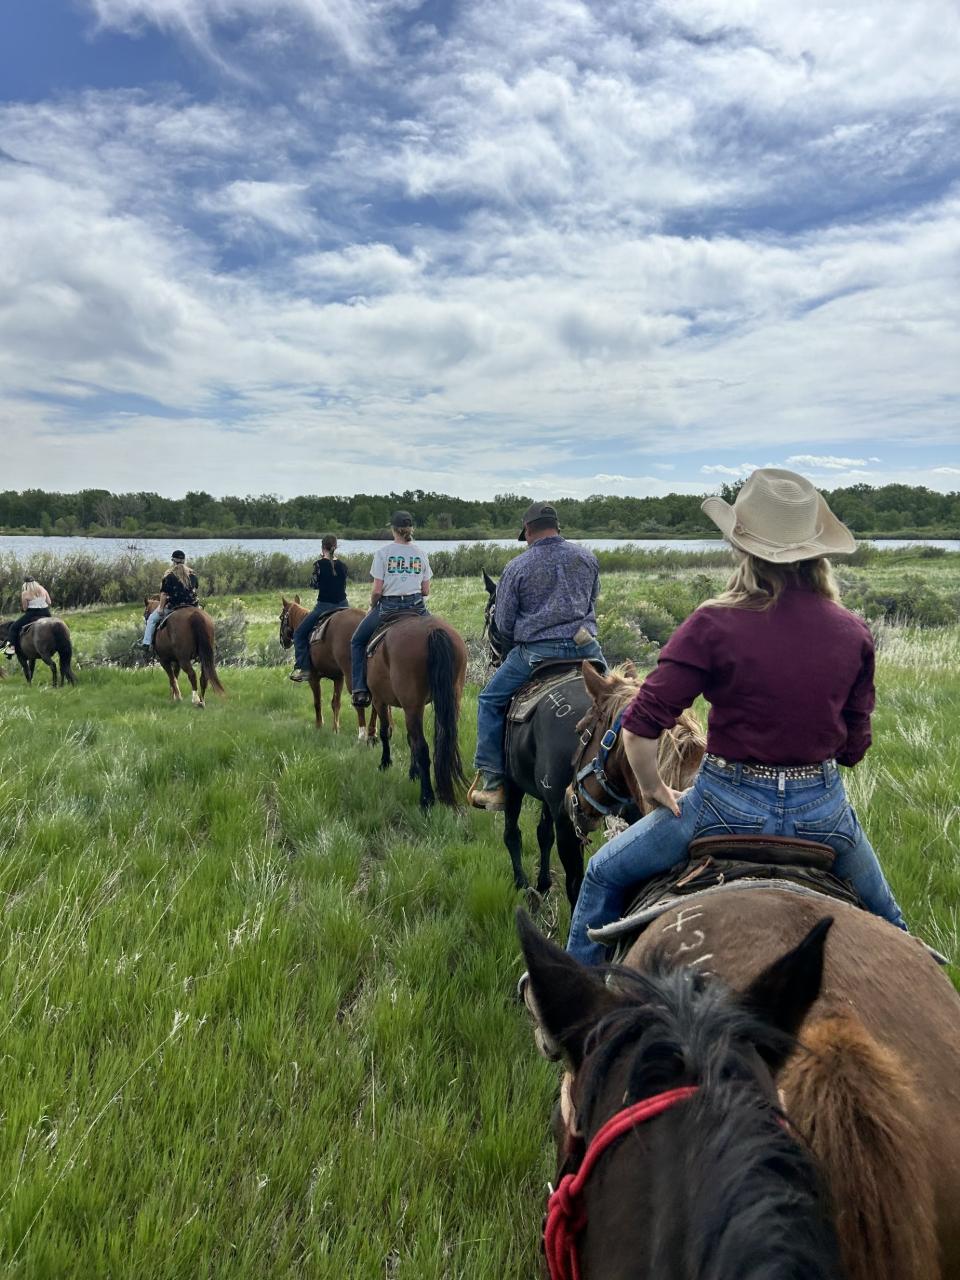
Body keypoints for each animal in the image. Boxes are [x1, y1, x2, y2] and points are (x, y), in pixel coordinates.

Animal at [277, 591, 376, 737]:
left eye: (281, 617)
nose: (283, 641)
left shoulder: (313, 678)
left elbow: (317, 702)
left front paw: (319, 726)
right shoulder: (338, 678)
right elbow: (336, 703)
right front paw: (335, 729)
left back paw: (362, 734)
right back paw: (374, 732)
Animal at [368, 611, 471, 808]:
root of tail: (433, 631)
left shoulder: (379, 700)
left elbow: (386, 732)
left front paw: (385, 763)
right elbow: (409, 740)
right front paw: (413, 773)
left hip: (411, 706)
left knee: (422, 747)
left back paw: (426, 799)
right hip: (452, 699)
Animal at [483, 576, 701, 906]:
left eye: (489, 612)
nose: (493, 657)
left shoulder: (515, 785)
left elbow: (514, 834)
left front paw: (523, 884)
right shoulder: (550, 800)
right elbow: (542, 834)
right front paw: (542, 883)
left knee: (573, 881)